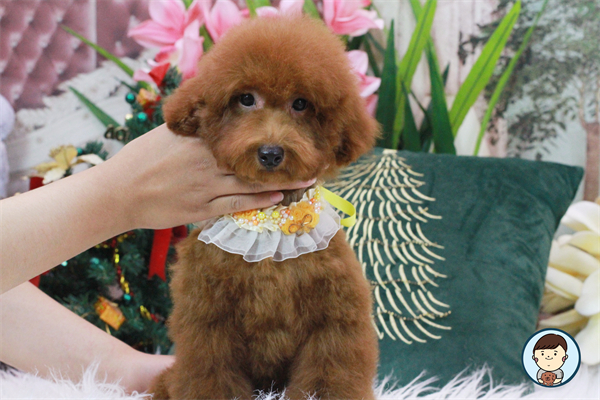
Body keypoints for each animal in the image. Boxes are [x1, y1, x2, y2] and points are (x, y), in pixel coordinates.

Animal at [150, 15, 379, 400]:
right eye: (245, 99)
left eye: (301, 104)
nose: (270, 152)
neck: (272, 223)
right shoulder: (208, 318)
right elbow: (210, 374)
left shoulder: (334, 317)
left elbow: (329, 374)